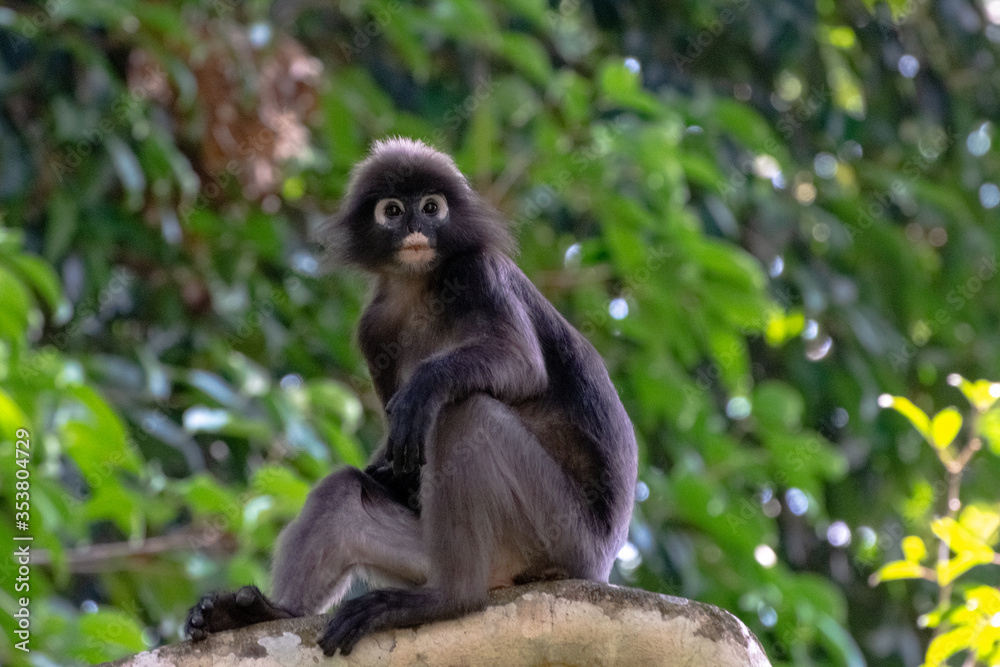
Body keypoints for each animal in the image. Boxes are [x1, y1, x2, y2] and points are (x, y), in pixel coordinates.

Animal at [184, 137, 638, 656]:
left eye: (431, 207)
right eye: (394, 211)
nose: (416, 228)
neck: (420, 286)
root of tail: (600, 564)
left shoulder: (478, 270)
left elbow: (521, 363)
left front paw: (422, 390)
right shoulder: (374, 327)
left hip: (561, 537)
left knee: (465, 413)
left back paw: (447, 598)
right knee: (343, 491)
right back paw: (266, 614)